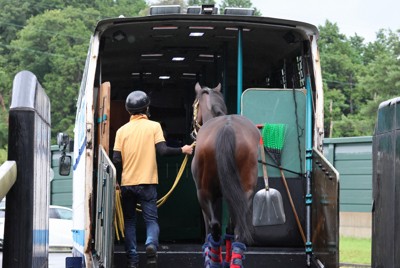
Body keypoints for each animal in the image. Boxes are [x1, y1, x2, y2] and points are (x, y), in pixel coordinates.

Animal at [191, 82, 260, 266]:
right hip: (244, 193)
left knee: (214, 227)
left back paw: (214, 260)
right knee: (238, 229)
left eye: (194, 105)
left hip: (203, 194)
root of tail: (227, 127)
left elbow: (211, 228)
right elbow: (229, 227)